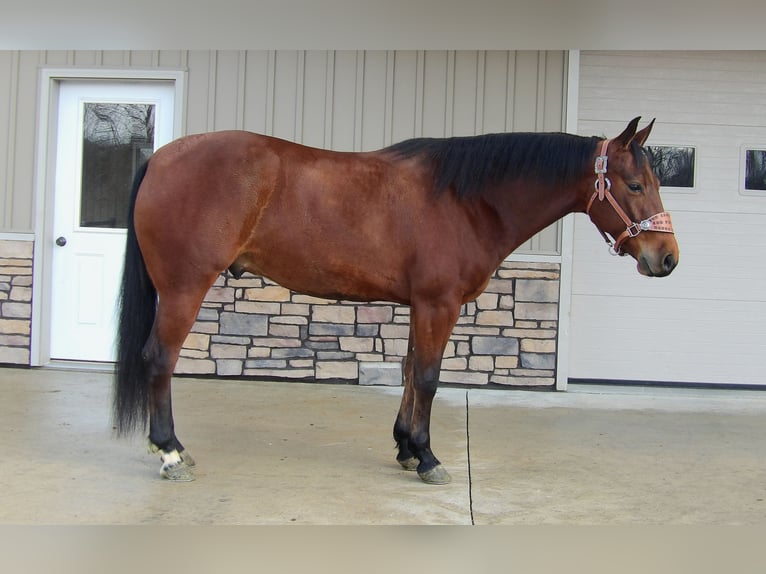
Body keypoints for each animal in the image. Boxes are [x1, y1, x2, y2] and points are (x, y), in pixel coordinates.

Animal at [114, 117, 678, 484]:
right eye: (633, 184)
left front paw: (406, 447)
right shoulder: (438, 304)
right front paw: (428, 459)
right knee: (159, 360)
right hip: (184, 288)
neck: (466, 199)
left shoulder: (419, 306)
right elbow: (427, 378)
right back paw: (170, 453)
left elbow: (409, 373)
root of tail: (161, 157)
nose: (668, 257)